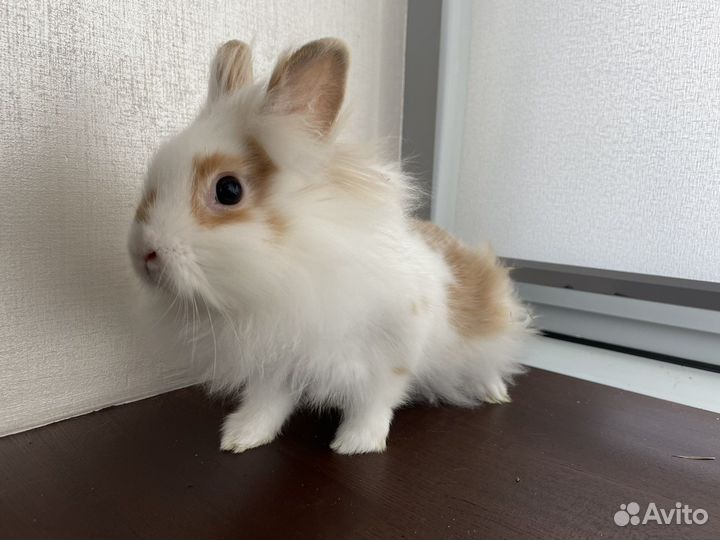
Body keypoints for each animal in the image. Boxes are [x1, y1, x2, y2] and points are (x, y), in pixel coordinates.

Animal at [128, 38, 532, 455]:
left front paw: (355, 445)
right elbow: (266, 403)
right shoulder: (275, 364)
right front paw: (240, 438)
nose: (143, 253)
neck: (302, 264)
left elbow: (374, 403)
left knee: (492, 364)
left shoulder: (391, 354)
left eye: (228, 190)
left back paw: (494, 393)